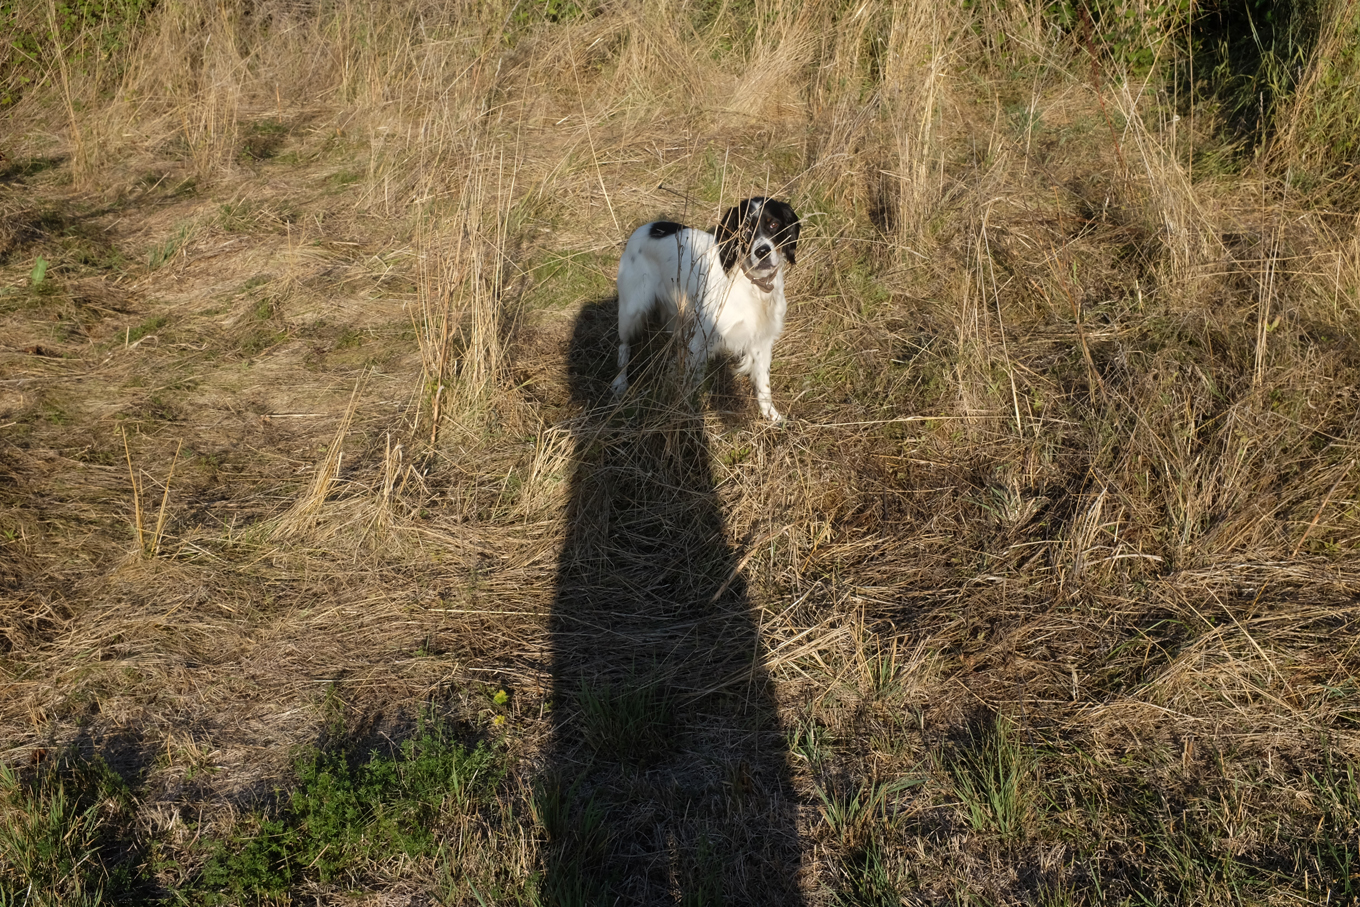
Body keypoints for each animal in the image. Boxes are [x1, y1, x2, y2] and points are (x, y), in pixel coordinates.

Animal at [612, 196, 801, 422]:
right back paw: (620, 382)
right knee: (623, 346)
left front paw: (771, 416)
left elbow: (764, 384)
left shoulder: (762, 340)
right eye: (745, 229)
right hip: (631, 311)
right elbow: (694, 382)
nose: (762, 251)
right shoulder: (702, 340)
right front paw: (691, 414)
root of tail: (649, 227)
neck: (752, 285)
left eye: (773, 224)